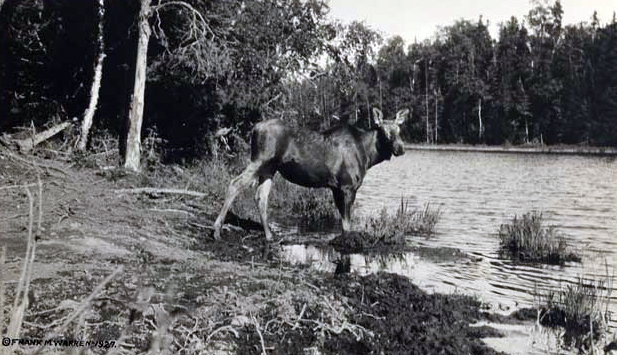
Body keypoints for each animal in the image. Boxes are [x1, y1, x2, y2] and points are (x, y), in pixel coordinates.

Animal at [212, 108, 410, 242]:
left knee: (261, 196)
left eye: (399, 130)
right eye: (384, 131)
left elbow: (343, 223)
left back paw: (269, 235)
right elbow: (347, 225)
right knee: (235, 183)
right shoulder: (348, 186)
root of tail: (254, 129)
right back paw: (217, 230)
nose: (400, 148)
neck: (368, 156)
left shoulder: (336, 188)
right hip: (260, 160)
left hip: (270, 167)